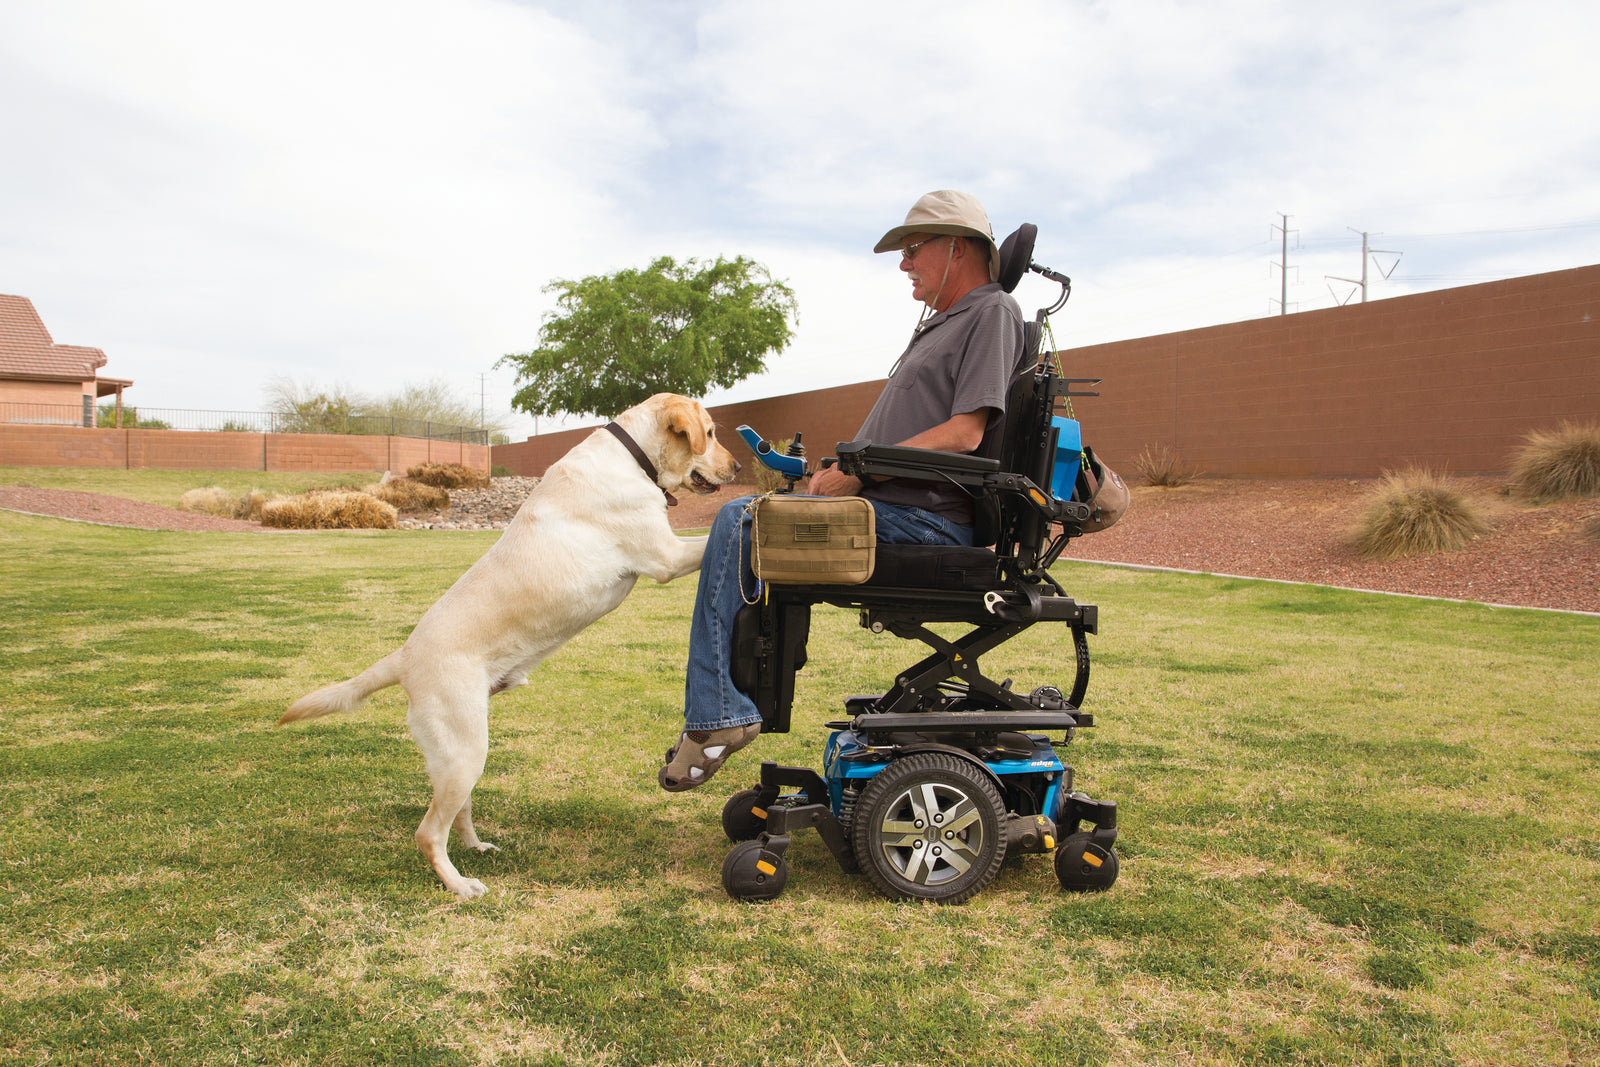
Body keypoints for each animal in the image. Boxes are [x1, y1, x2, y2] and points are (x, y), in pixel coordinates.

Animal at [278, 396, 739, 895]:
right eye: (710, 433)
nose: (738, 467)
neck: (631, 456)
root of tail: (403, 658)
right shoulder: (666, 556)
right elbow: (714, 531)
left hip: (459, 759)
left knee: (456, 815)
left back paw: (476, 848)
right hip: (465, 753)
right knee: (428, 833)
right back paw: (460, 885)